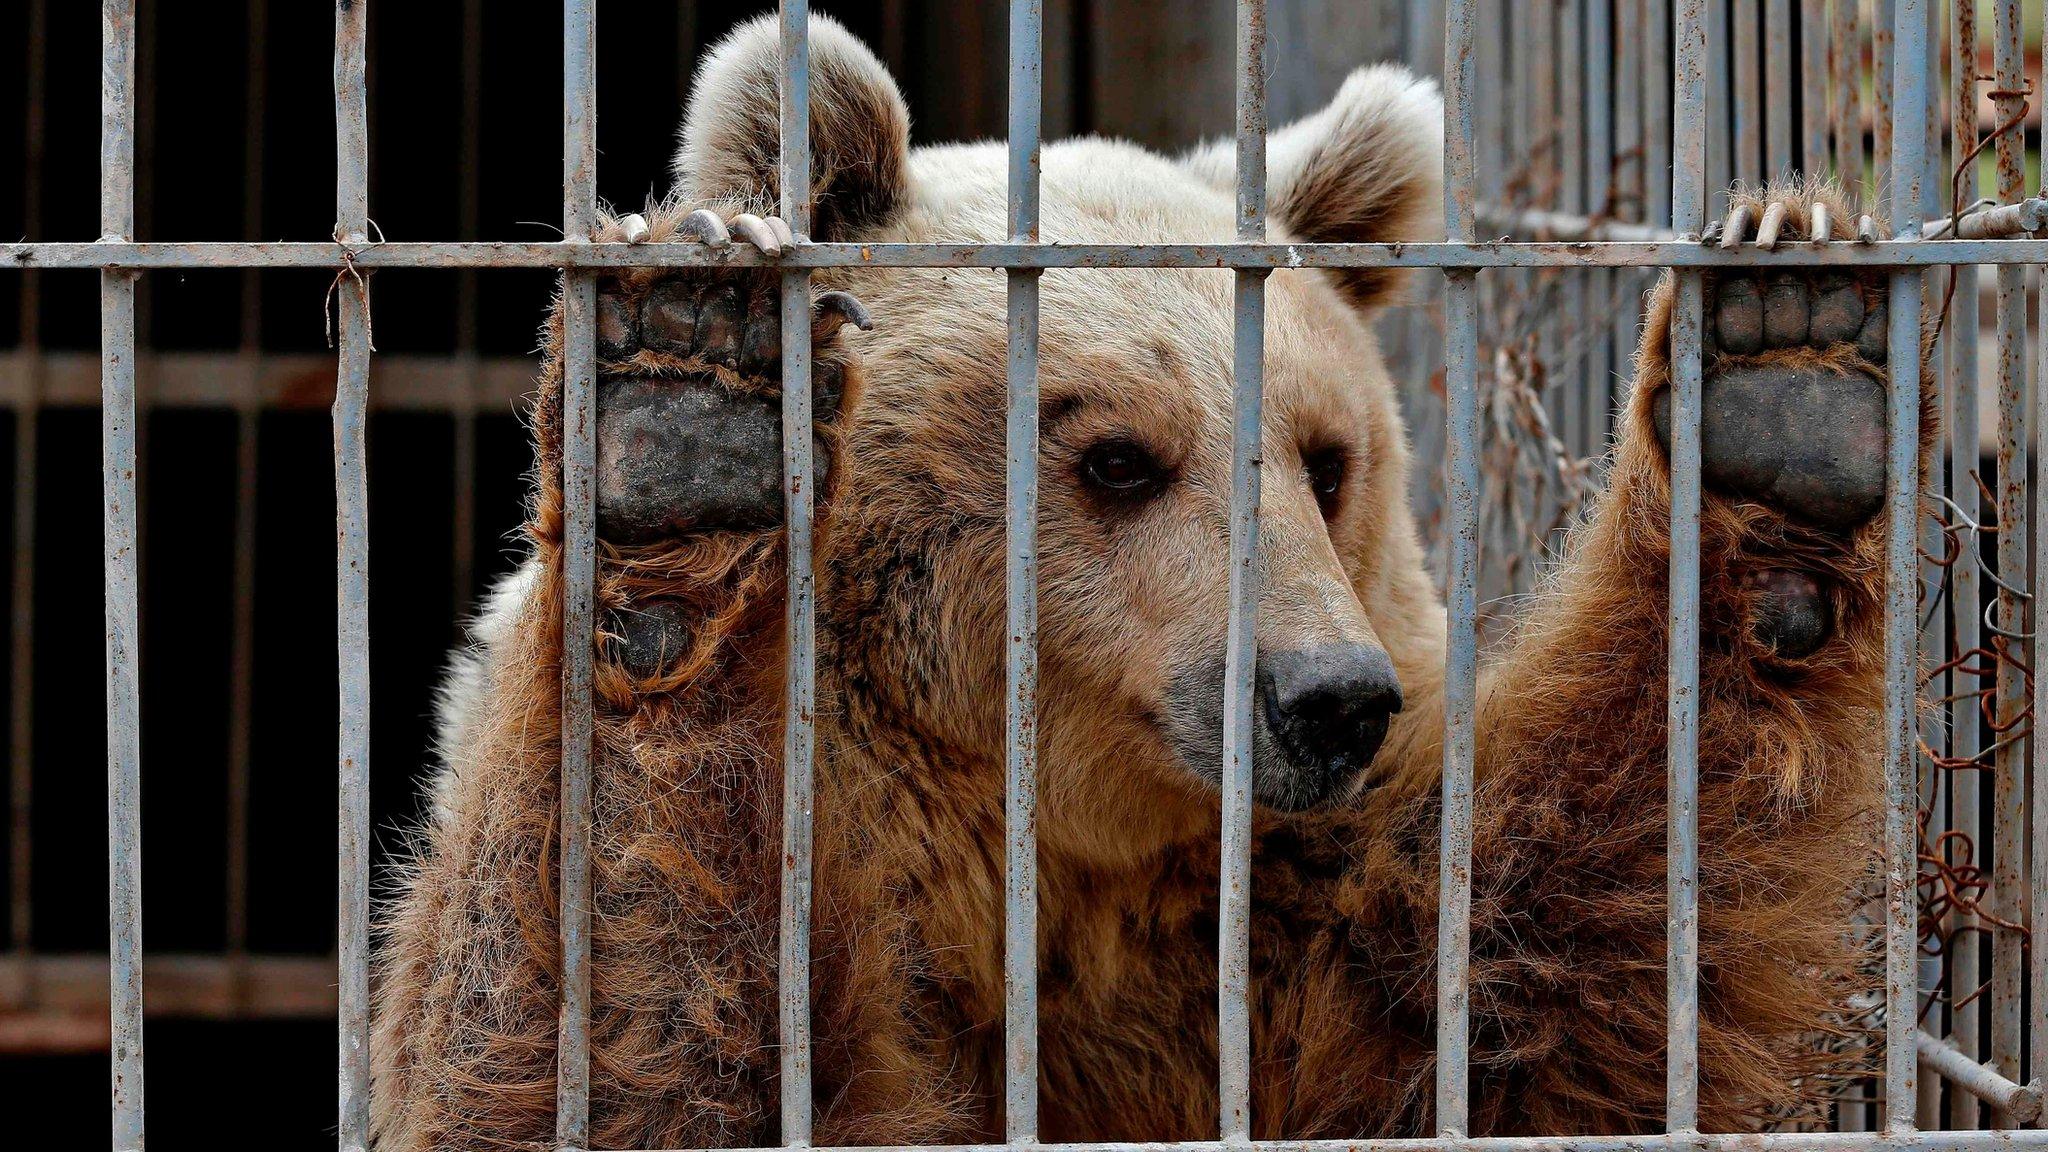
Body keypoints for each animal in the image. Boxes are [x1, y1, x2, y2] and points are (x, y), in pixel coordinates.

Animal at [368, 11, 1900, 1147]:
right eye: (1115, 459)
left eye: (1325, 460)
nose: (1330, 699)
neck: (1051, 855)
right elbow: (634, 1014)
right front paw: (691, 419)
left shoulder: (1286, 934)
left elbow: (1537, 967)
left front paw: (1780, 371)